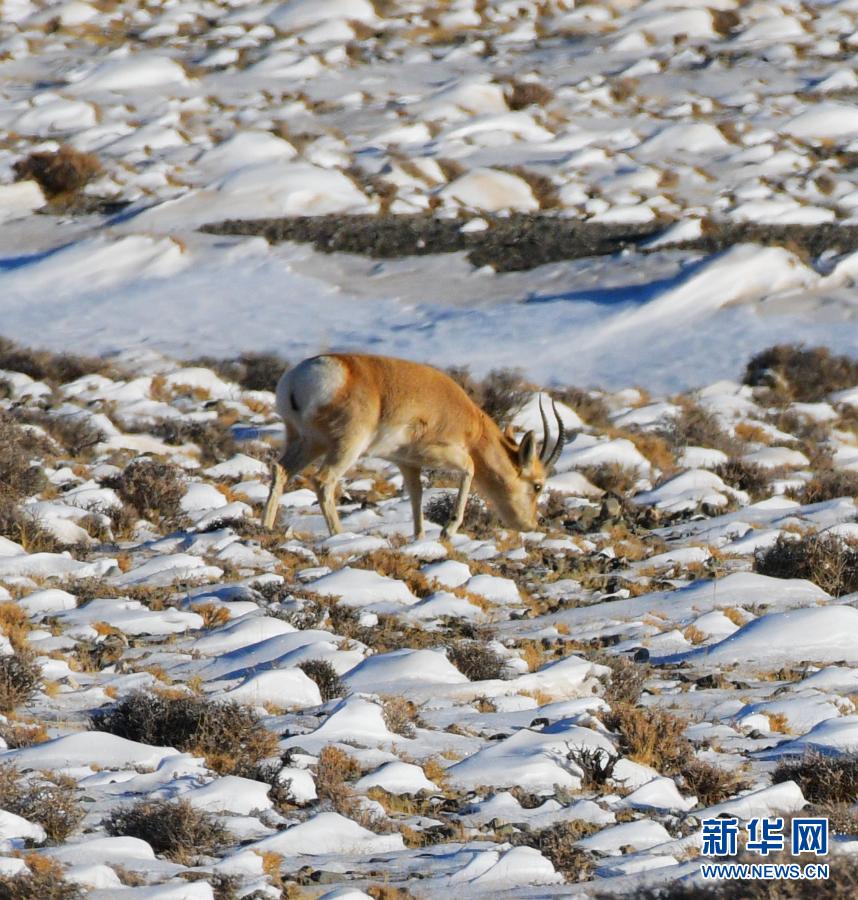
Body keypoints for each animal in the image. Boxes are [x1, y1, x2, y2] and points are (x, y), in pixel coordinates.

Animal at [264, 354, 564, 536]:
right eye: (538, 485)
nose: (531, 524)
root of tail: (301, 376)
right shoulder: (442, 453)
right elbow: (469, 468)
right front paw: (447, 531)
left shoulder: (406, 462)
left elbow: (417, 494)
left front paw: (419, 537)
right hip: (346, 447)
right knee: (323, 480)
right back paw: (339, 535)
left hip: (308, 442)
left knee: (280, 470)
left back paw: (265, 527)